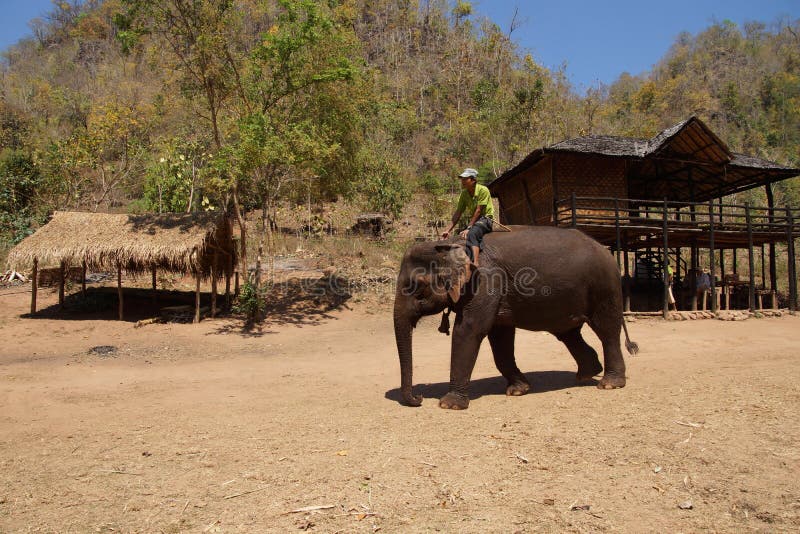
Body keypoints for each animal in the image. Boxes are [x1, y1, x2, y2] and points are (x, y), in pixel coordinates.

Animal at [393, 225, 638, 409]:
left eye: (417, 287)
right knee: (568, 333)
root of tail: (608, 251)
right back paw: (586, 375)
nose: (419, 398)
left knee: (606, 329)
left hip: (604, 287)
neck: (449, 244)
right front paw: (518, 390)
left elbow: (470, 329)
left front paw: (449, 405)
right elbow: (499, 337)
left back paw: (608, 384)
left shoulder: (485, 280)